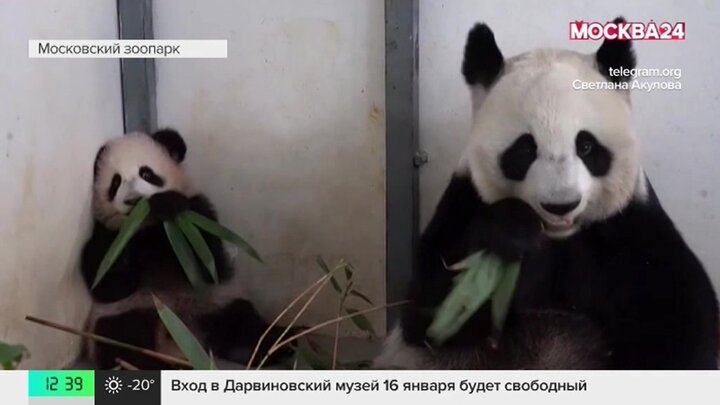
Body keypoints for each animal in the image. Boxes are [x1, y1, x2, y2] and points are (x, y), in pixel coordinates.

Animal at [82, 129, 286, 370]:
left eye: (147, 173)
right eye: (115, 183)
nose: (134, 200)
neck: (149, 226)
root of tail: (181, 340)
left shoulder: (199, 212)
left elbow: (210, 266)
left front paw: (167, 203)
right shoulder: (104, 235)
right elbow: (108, 284)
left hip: (216, 302)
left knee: (243, 323)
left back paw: (275, 345)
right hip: (132, 310)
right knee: (120, 337)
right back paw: (153, 364)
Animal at [376, 17, 720, 368]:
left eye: (586, 146)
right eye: (525, 149)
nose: (561, 205)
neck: (558, 238)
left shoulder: (630, 225)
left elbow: (680, 321)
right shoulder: (465, 200)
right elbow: (431, 312)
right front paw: (512, 230)